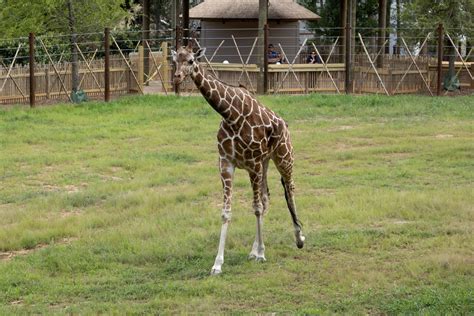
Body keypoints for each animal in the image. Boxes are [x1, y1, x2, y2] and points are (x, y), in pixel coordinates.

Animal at [172, 42, 306, 274]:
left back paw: (298, 238)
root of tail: (285, 124)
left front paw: (261, 254)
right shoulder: (226, 163)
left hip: (283, 156)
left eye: (191, 60)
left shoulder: (252, 163)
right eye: (174, 60)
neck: (231, 114)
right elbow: (227, 212)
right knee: (267, 197)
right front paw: (218, 264)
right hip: (265, 162)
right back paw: (254, 249)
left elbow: (256, 208)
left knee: (289, 190)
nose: (177, 77)